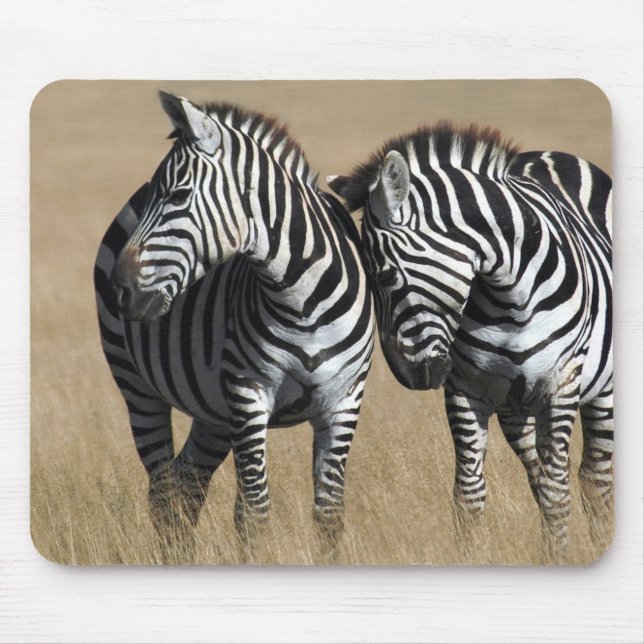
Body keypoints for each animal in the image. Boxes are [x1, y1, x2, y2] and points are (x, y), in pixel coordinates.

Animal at [94, 91, 374, 551]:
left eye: (178, 195)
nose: (119, 292)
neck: (302, 302)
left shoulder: (344, 400)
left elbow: (329, 515)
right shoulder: (248, 393)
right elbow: (254, 513)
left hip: (212, 411)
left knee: (186, 485)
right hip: (137, 385)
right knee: (163, 492)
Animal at [328, 122, 613, 557]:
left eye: (384, 274)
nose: (405, 376)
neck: (511, 295)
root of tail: (552, 153)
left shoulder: (560, 383)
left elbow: (558, 490)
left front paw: (561, 557)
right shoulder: (466, 387)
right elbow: (469, 495)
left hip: (600, 389)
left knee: (594, 478)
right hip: (515, 407)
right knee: (537, 475)